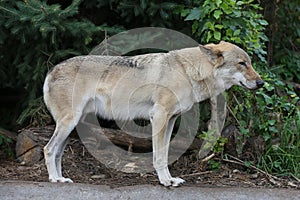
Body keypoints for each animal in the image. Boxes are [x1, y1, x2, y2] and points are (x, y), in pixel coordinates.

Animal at [43, 41, 264, 187]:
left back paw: (62, 178)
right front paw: (165, 181)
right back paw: (54, 179)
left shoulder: (171, 120)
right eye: (242, 63)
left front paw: (170, 179)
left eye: (250, 63)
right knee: (48, 149)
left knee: (58, 152)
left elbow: (164, 155)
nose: (261, 83)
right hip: (68, 123)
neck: (187, 72)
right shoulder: (159, 116)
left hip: (71, 125)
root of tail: (51, 70)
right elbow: (158, 157)